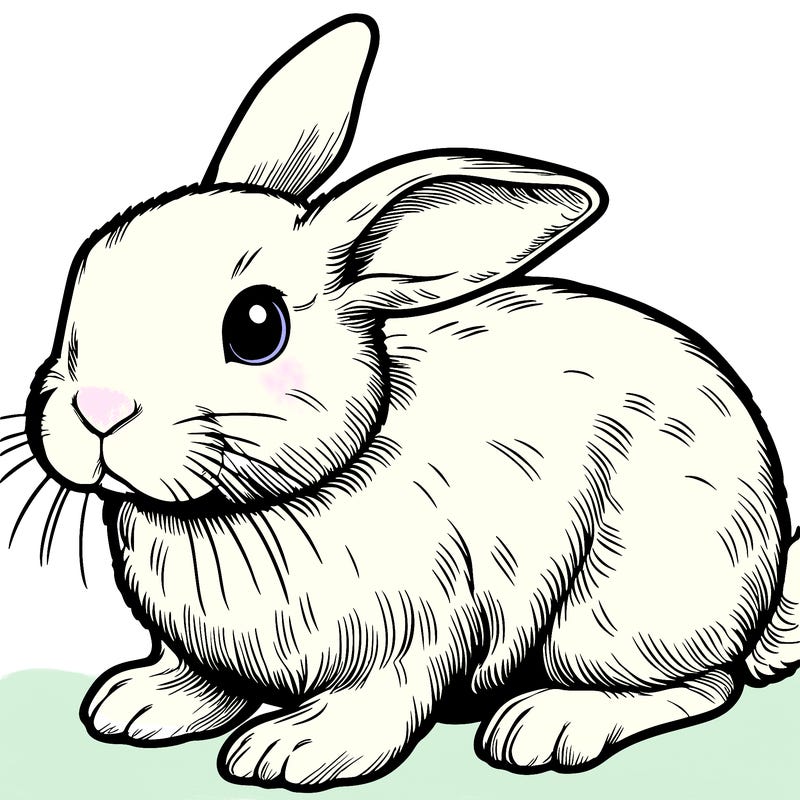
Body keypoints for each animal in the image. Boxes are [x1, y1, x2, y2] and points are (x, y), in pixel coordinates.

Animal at [16, 12, 800, 791]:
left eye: (257, 326)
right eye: (84, 272)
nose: (98, 409)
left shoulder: (420, 629)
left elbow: (381, 700)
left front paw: (292, 750)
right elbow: (204, 681)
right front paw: (138, 704)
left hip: (619, 614)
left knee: (704, 684)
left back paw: (547, 725)